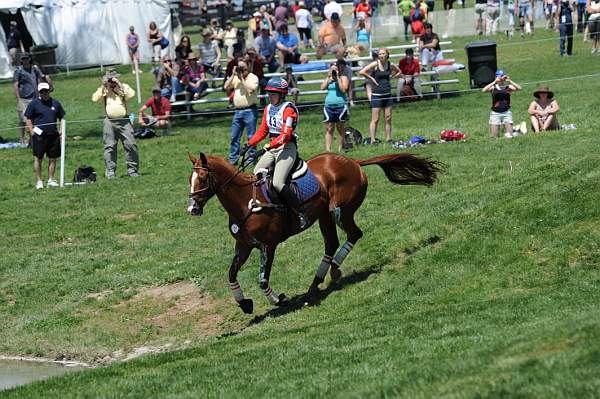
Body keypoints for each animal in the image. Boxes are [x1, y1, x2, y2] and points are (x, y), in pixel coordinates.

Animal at [188, 152, 440, 314]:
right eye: (190, 180)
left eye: (203, 179)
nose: (192, 209)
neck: (245, 203)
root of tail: (353, 161)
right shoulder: (244, 246)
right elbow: (231, 274)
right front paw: (244, 304)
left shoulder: (268, 246)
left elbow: (262, 279)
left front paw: (279, 300)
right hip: (325, 217)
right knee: (332, 243)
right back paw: (315, 284)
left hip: (340, 211)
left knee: (354, 234)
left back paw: (334, 270)